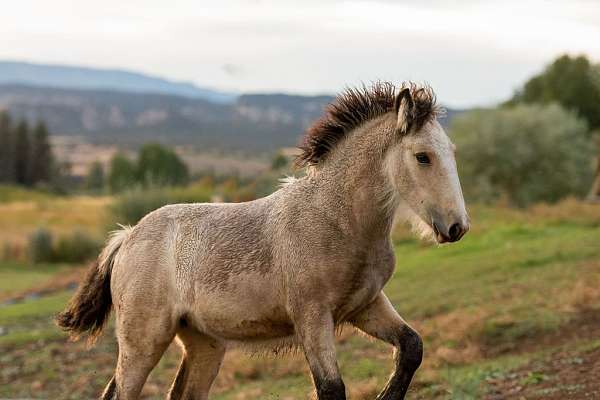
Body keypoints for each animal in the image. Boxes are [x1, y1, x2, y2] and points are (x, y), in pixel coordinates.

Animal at [57, 82, 468, 400]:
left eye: (452, 152)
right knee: (121, 392)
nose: (457, 227)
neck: (336, 220)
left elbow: (411, 347)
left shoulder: (366, 306)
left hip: (204, 343)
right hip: (142, 341)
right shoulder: (312, 318)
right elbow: (331, 388)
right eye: (422, 157)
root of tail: (127, 237)